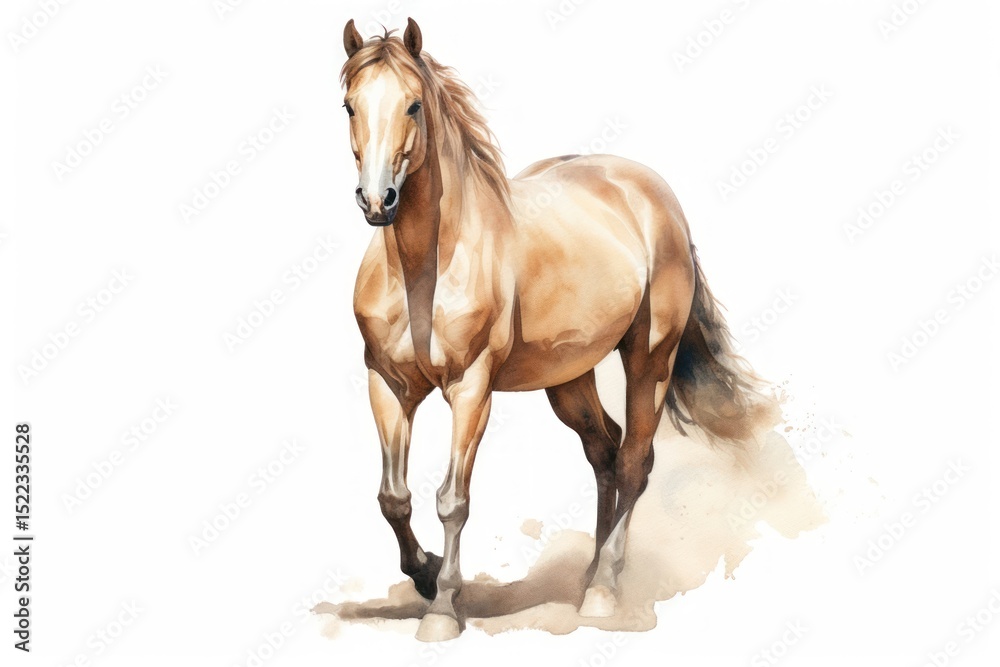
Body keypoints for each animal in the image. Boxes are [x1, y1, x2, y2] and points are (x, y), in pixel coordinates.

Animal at [340, 18, 778, 641]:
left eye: (414, 104)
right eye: (349, 105)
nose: (378, 200)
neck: (426, 267)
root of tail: (652, 194)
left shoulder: (471, 389)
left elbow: (453, 499)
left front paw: (443, 610)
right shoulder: (387, 384)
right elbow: (392, 498)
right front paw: (424, 574)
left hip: (650, 360)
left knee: (634, 459)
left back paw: (602, 591)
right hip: (568, 378)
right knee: (605, 451)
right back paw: (588, 575)